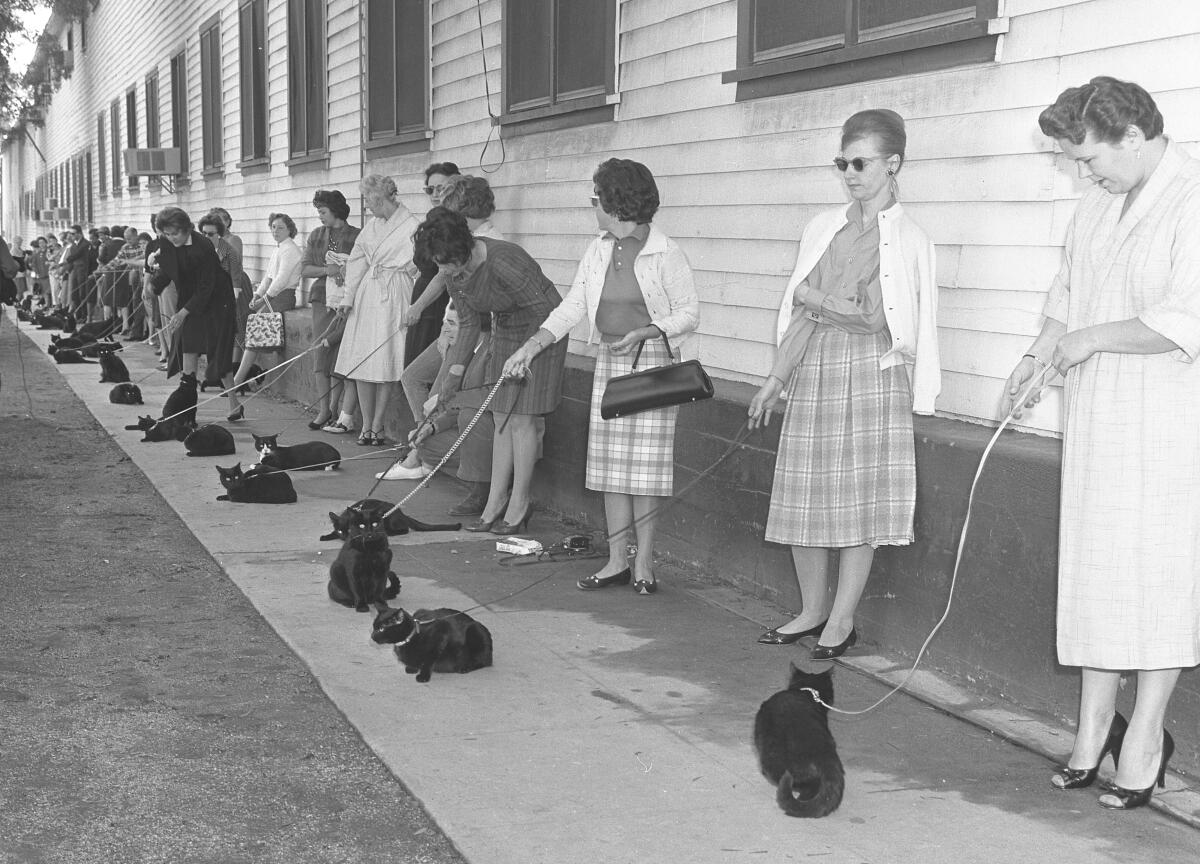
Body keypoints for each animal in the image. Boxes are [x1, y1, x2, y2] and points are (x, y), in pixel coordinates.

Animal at [319, 499, 458, 540]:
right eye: (340, 531)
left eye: (349, 530)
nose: (345, 537)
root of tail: (402, 513)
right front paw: (326, 536)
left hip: (390, 520)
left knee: (405, 529)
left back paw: (389, 533)